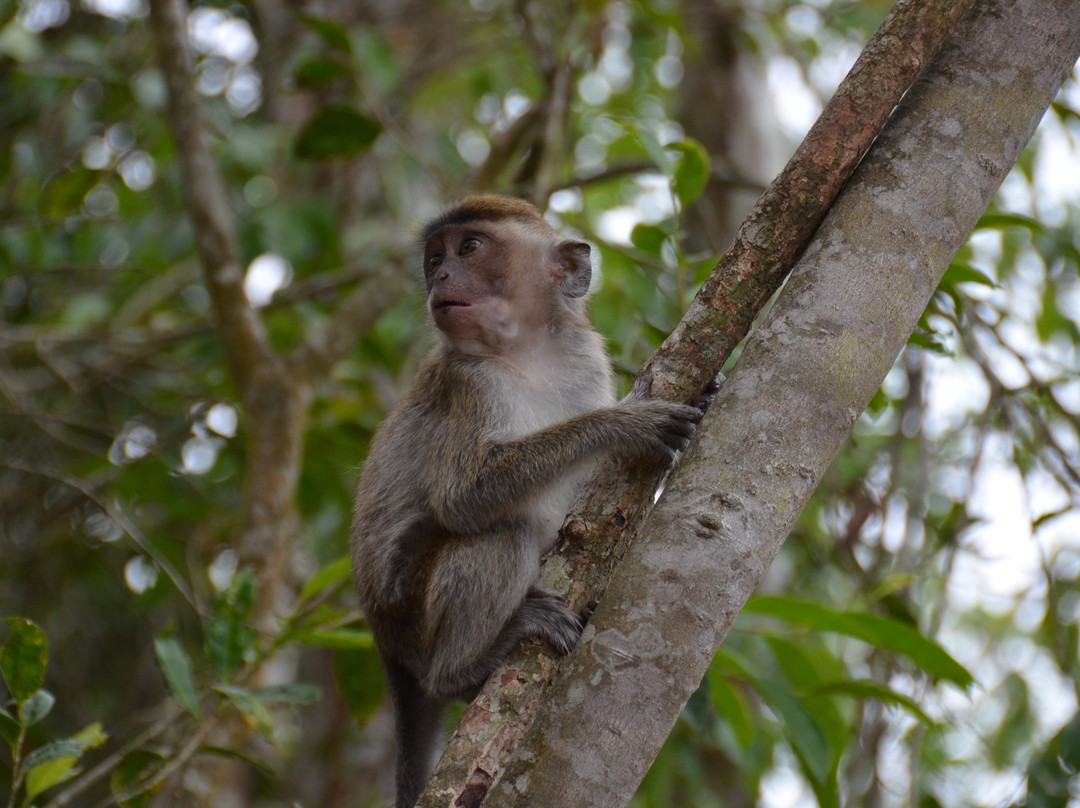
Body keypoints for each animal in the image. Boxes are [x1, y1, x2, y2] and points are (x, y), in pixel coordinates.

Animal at [350, 195, 704, 808]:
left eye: (469, 248)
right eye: (435, 257)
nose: (440, 277)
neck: (526, 351)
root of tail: (384, 638)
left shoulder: (585, 361)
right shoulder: (469, 382)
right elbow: (463, 497)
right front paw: (626, 423)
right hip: (409, 608)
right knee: (499, 534)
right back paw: (465, 668)